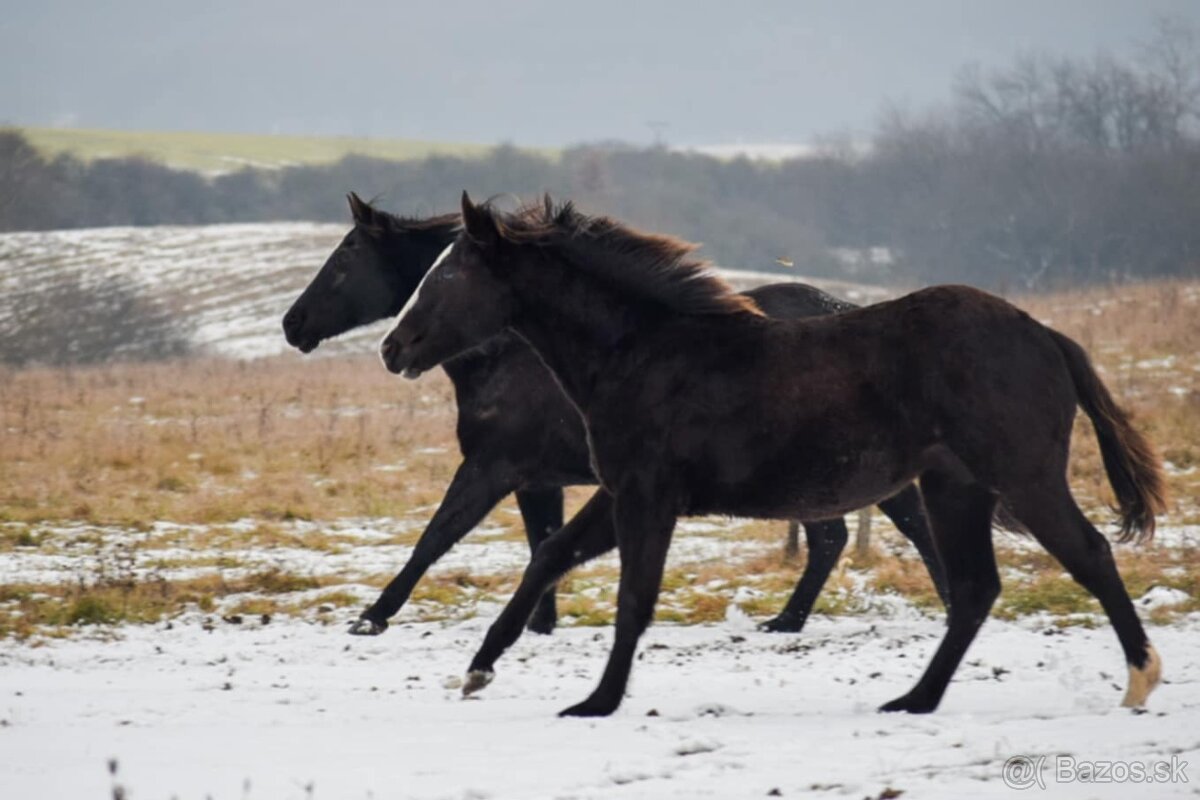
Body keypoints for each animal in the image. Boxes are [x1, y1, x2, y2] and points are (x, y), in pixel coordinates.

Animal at [280, 195, 945, 638]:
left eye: (345, 257)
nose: (293, 324)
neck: (512, 352)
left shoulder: (493, 467)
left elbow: (436, 536)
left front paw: (372, 616)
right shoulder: (535, 479)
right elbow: (540, 541)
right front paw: (540, 623)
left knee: (871, 531)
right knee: (855, 533)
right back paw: (797, 618)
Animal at [381, 194, 1161, 719]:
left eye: (448, 278)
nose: (393, 347)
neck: (644, 352)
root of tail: (1045, 335)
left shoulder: (647, 495)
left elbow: (634, 596)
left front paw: (597, 702)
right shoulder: (619, 491)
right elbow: (550, 556)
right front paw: (479, 668)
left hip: (1020, 476)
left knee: (1088, 554)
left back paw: (1139, 678)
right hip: (954, 488)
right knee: (974, 589)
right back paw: (913, 699)